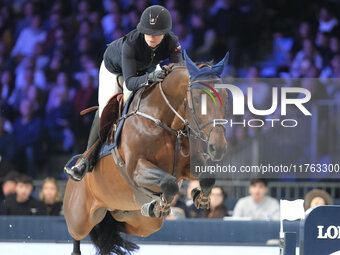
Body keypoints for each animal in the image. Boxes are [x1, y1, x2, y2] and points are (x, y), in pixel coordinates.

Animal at [63, 50, 228, 254]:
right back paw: (80, 170)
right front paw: (165, 203)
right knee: (77, 235)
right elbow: (169, 182)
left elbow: (207, 178)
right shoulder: (136, 169)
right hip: (80, 217)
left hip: (139, 221)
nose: (218, 148)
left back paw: (150, 209)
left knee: (116, 227)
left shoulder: (187, 165)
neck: (165, 121)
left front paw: (199, 198)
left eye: (226, 97)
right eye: (197, 99)